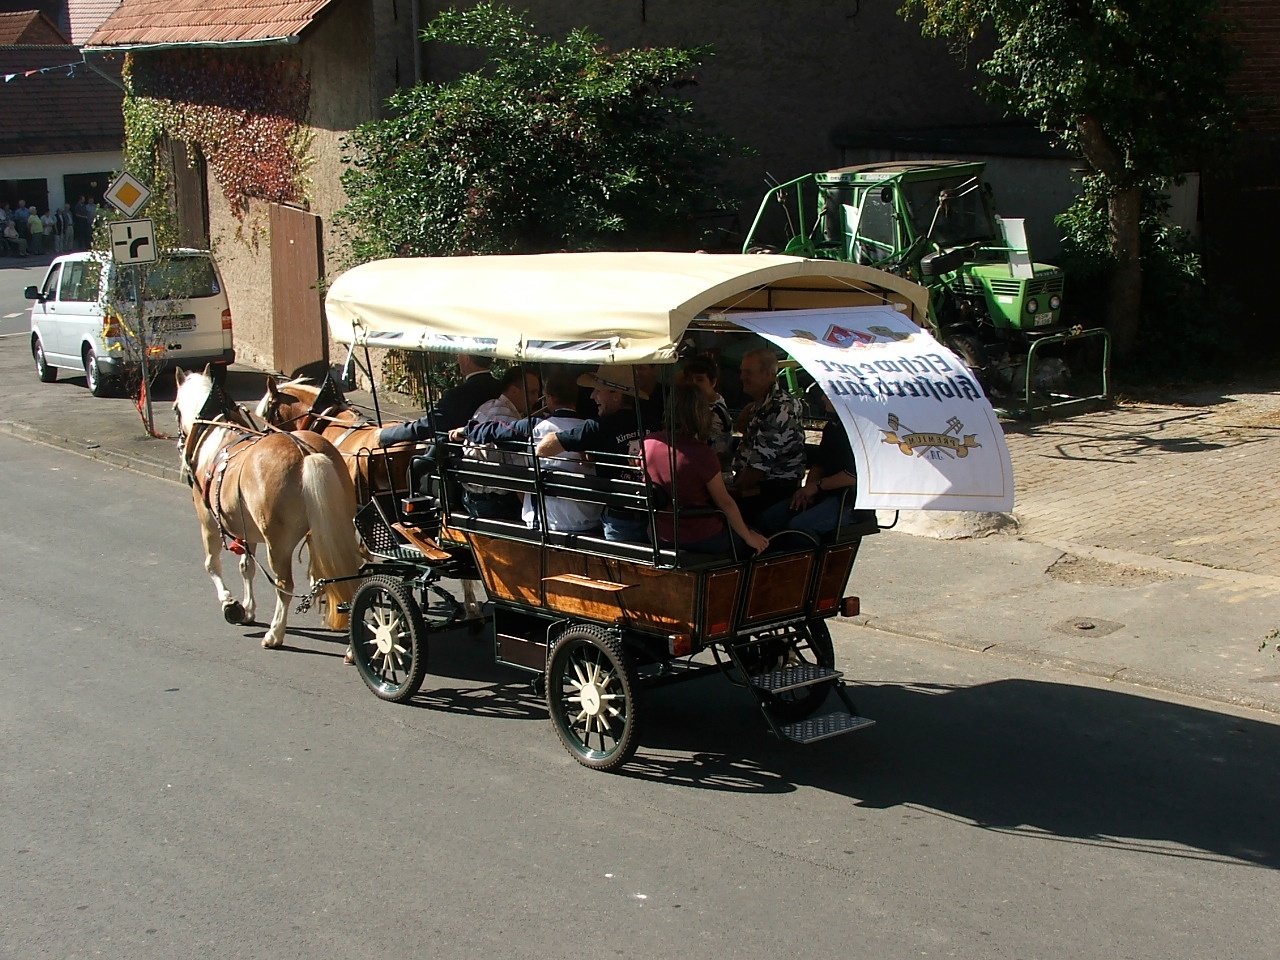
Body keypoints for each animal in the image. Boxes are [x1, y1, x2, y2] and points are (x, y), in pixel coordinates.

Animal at [174, 367, 362, 650]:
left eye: (175, 408)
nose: (180, 445)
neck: (216, 435)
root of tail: (306, 453)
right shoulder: (245, 530)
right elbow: (246, 567)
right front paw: (248, 609)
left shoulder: (208, 522)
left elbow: (212, 565)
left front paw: (230, 603)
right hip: (336, 530)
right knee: (351, 576)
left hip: (278, 543)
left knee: (284, 585)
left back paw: (275, 633)